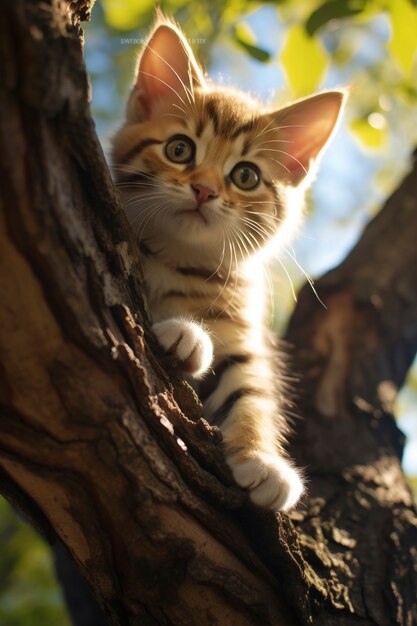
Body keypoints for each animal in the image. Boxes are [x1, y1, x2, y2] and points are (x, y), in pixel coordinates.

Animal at [111, 17, 344, 510]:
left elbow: (252, 394)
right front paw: (186, 335)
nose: (203, 190)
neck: (182, 258)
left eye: (245, 176)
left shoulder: (243, 334)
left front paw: (262, 460)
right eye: (179, 150)